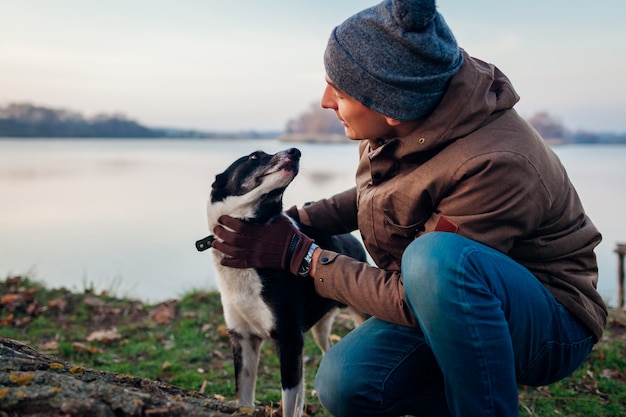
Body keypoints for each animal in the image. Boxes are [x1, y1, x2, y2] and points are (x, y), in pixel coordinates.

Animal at [195, 148, 366, 414]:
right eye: (254, 156)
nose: (295, 151)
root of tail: (352, 239)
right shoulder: (244, 339)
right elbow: (243, 396)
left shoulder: (289, 340)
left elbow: (289, 403)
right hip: (318, 328)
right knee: (325, 349)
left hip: (358, 315)